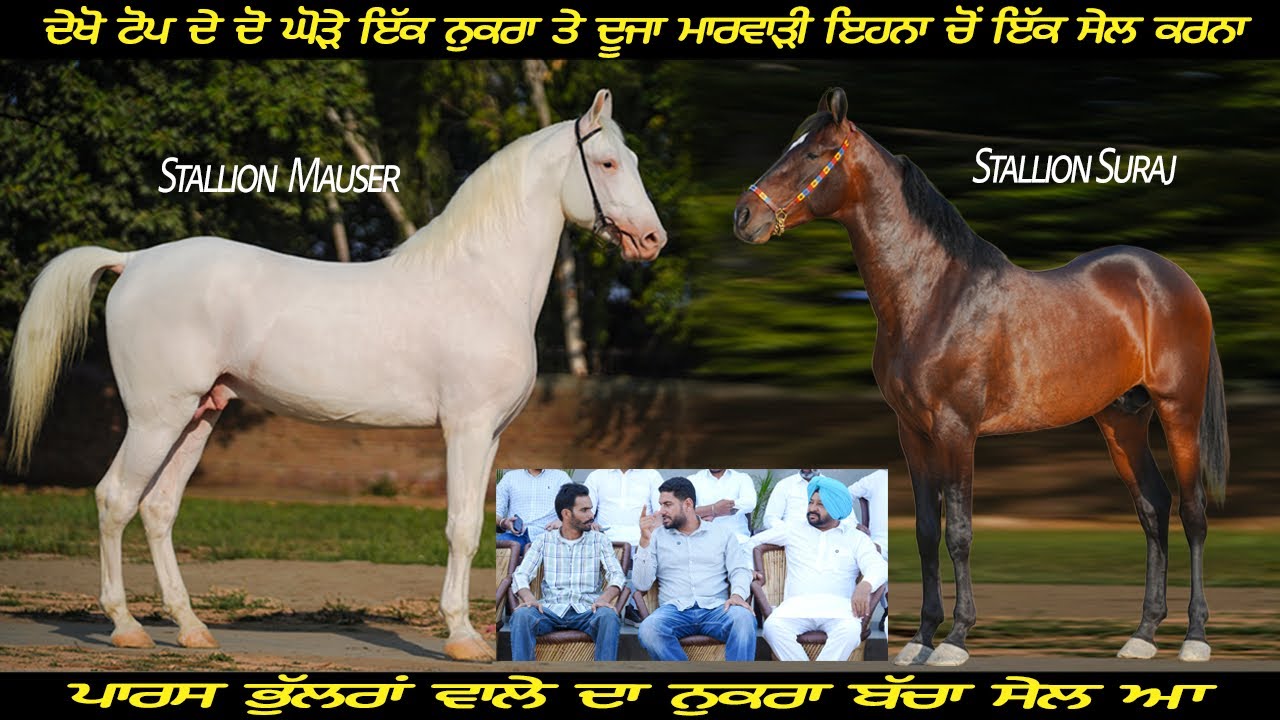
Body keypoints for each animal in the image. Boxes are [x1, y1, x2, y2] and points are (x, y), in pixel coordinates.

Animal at [5, 88, 667, 662]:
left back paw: (192, 630)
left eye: (634, 159)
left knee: (159, 510)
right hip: (156, 416)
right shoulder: (466, 429)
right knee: (115, 499)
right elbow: (458, 529)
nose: (652, 239)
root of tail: (134, 261)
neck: (479, 282)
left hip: (199, 414)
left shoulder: (491, 437)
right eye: (607, 162)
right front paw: (462, 639)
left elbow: (476, 528)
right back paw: (126, 627)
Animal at [732, 88, 1227, 665]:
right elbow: (927, 532)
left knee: (1192, 512)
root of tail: (1175, 280)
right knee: (1153, 508)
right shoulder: (913, 433)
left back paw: (1194, 637)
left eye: (814, 154)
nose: (744, 216)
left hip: (1179, 411)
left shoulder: (956, 430)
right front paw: (920, 640)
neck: (932, 296)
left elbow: (961, 533)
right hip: (1121, 421)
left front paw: (954, 640)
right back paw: (1143, 636)